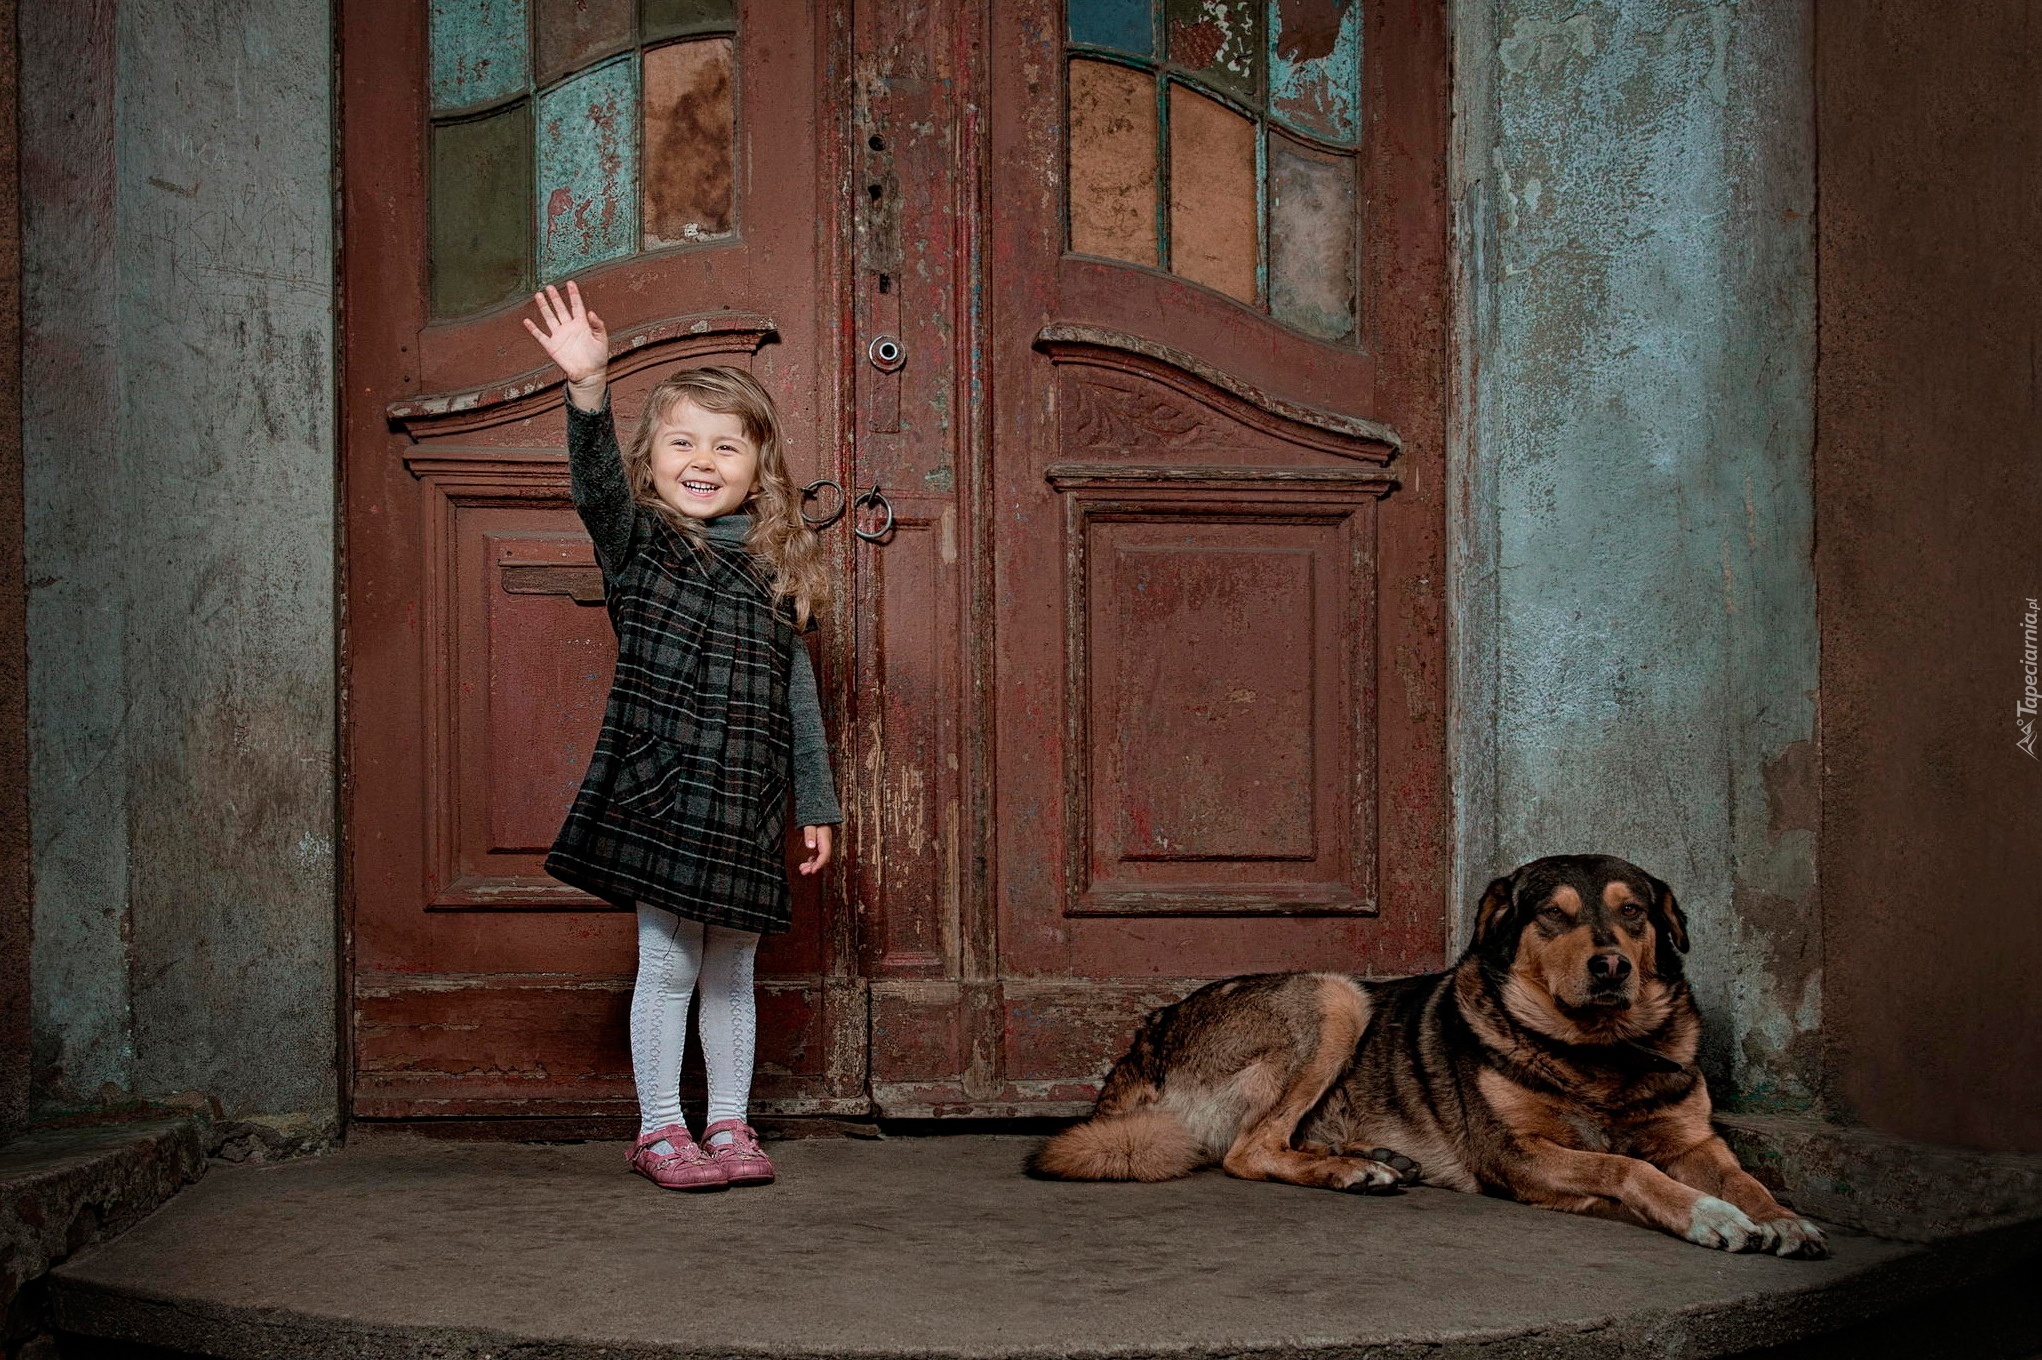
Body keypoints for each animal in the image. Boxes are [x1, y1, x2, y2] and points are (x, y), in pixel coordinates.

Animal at [1029, 853, 1829, 1257]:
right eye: (1553, 916)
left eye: (1633, 911)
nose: (1611, 967)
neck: (1596, 1051)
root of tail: (1148, 1033)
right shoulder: (1518, 1154)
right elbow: (1624, 1167)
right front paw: (1708, 1216)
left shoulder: (1695, 1140)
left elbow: (1745, 1178)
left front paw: (1784, 1219)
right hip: (1332, 995)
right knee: (1248, 1150)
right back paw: (1353, 1171)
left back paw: (1371, 1158)